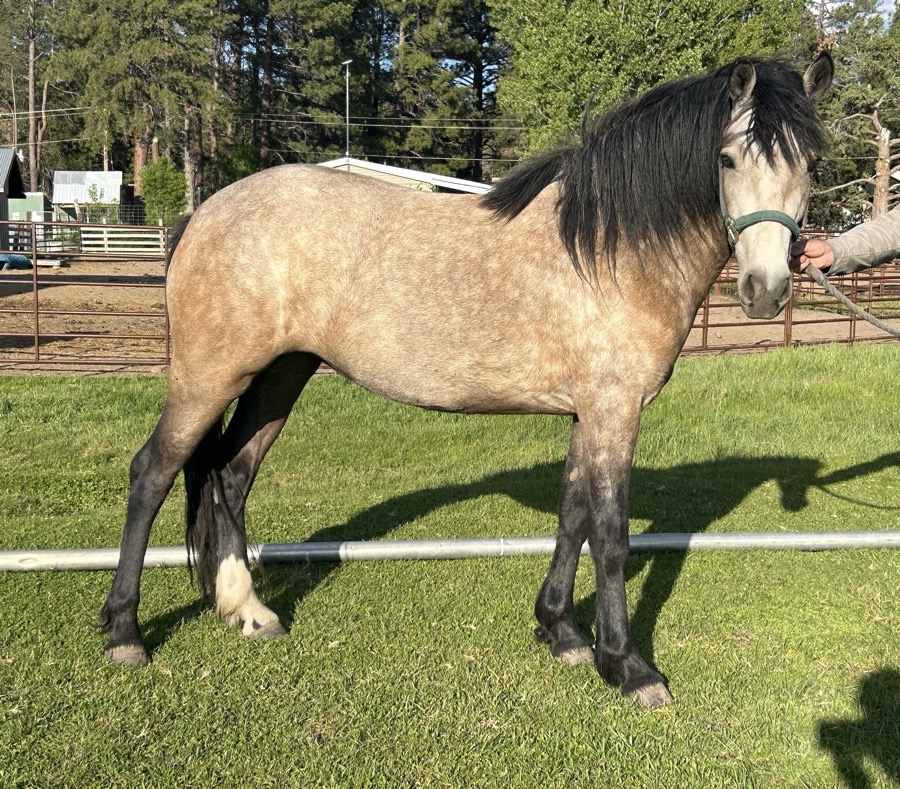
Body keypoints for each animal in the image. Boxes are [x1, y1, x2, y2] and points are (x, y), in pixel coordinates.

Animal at [99, 54, 833, 707]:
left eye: (811, 164)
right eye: (728, 159)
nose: (766, 291)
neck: (610, 248)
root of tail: (204, 213)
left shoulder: (586, 414)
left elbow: (572, 517)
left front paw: (561, 631)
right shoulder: (614, 410)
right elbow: (611, 536)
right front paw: (627, 666)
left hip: (281, 373)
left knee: (230, 475)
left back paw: (246, 608)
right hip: (210, 376)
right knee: (153, 472)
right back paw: (124, 633)